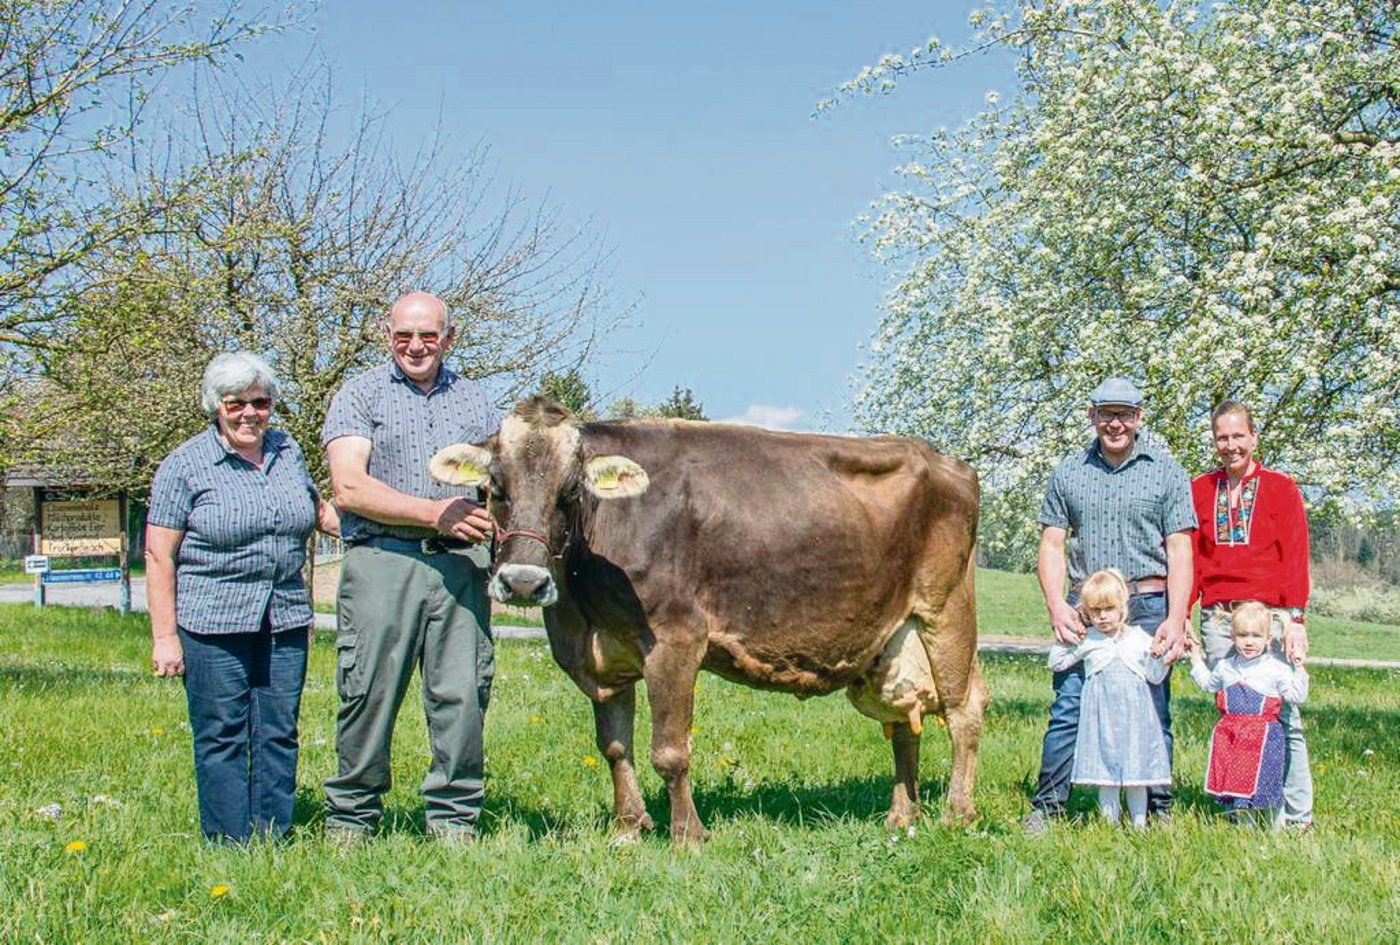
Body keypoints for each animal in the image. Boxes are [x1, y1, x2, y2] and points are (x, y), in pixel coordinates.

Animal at [428, 397, 988, 843]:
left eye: (570, 491)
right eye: (493, 486)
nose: (523, 582)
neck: (581, 610)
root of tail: (944, 460)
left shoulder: (675, 641)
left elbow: (669, 751)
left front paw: (687, 834)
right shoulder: (604, 655)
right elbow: (614, 746)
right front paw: (628, 827)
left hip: (945, 610)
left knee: (963, 709)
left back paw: (957, 814)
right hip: (890, 639)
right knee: (904, 722)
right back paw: (902, 816)